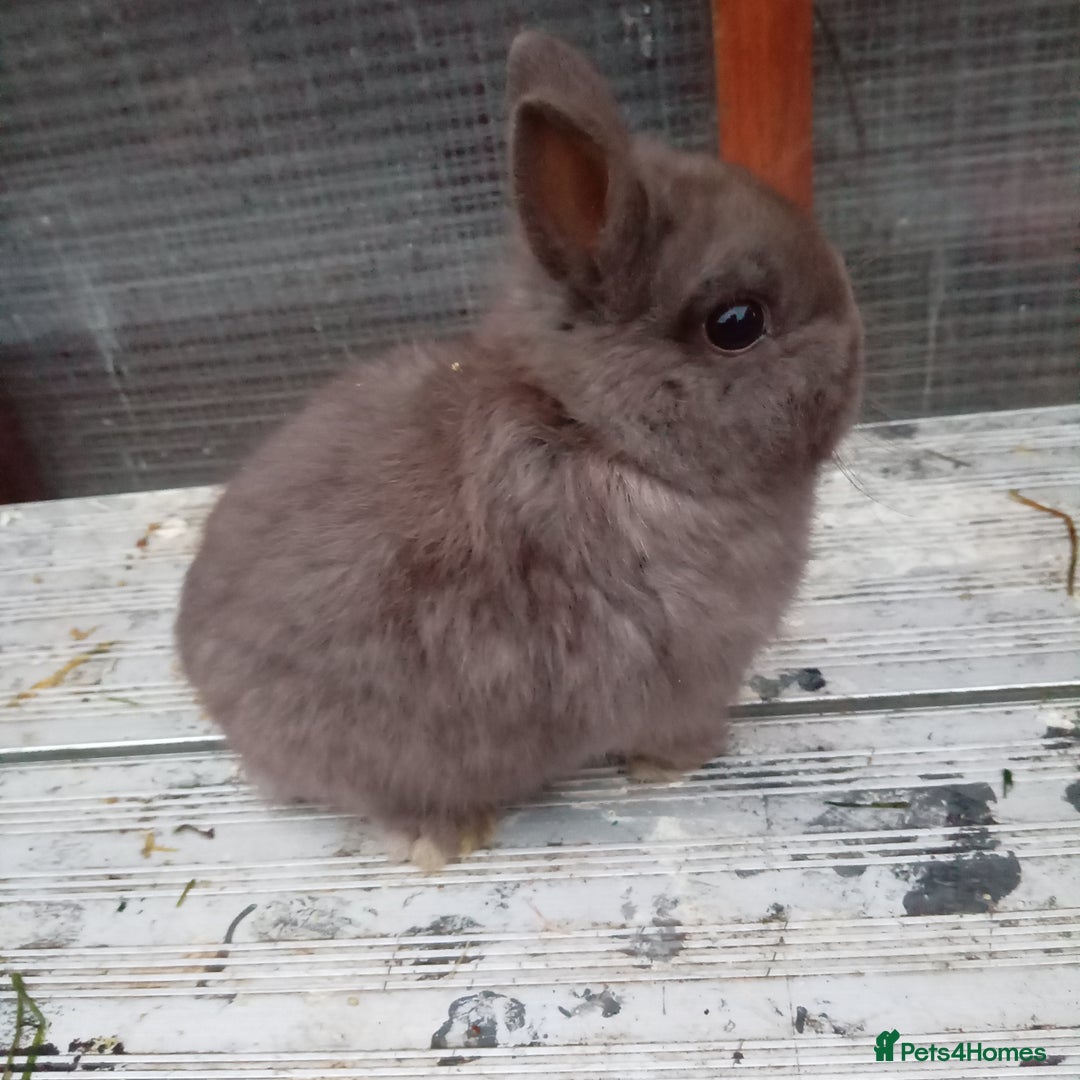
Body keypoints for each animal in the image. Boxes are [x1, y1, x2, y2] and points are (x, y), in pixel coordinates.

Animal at [176, 30, 864, 872]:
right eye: (737, 323)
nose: (858, 355)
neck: (596, 430)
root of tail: (206, 677)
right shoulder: (687, 675)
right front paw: (685, 763)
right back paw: (451, 837)